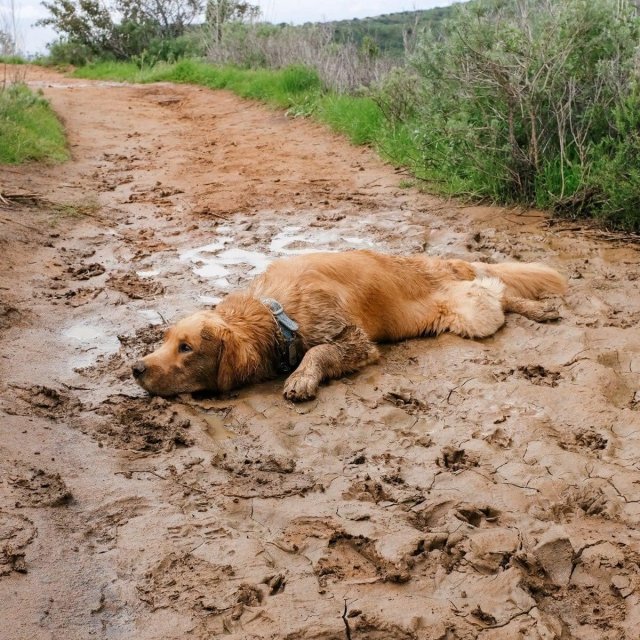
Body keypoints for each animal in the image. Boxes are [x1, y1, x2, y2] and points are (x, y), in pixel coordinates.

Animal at [130, 249, 564, 402]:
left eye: (187, 347)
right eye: (164, 339)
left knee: (498, 292)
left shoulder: (354, 338)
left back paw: (539, 310)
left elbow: (320, 351)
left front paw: (302, 378)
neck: (275, 313)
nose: (135, 368)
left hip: (472, 312)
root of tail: (444, 261)